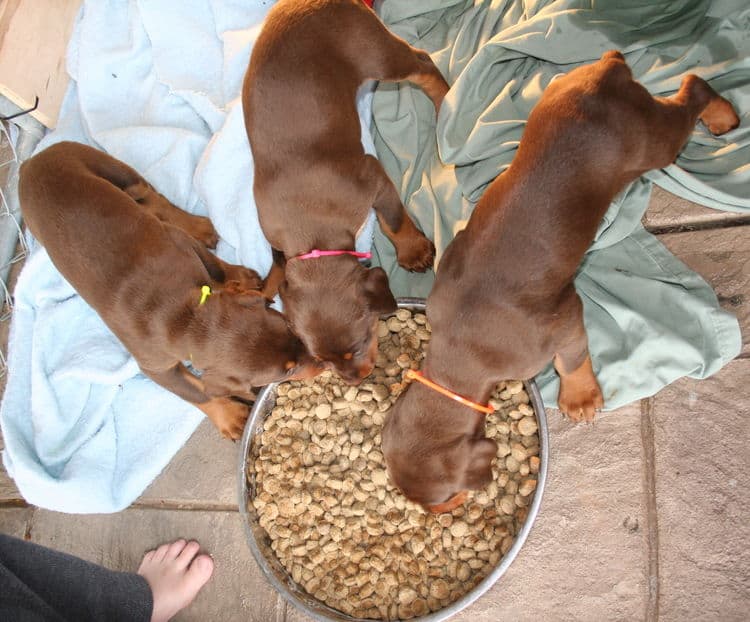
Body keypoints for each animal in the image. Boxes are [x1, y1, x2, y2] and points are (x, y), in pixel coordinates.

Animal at [20, 144, 320, 442]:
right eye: (288, 369)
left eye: (292, 329)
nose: (322, 362)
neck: (186, 315)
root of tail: (29, 164)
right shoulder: (155, 365)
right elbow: (194, 391)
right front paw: (230, 416)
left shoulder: (183, 245)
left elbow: (216, 269)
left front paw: (239, 279)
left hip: (110, 169)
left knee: (152, 199)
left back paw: (199, 227)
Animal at [244, 0, 450, 386]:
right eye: (321, 359)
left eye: (356, 346)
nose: (355, 380)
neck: (310, 237)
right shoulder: (275, 236)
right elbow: (278, 263)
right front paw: (263, 290)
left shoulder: (373, 178)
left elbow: (394, 221)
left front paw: (413, 250)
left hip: (377, 53)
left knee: (422, 64)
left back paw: (445, 99)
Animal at [384, 52, 744, 512]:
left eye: (444, 499)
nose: (444, 515)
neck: (459, 351)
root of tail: (604, 72)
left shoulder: (564, 319)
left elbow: (571, 359)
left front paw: (580, 397)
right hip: (561, 92)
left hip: (655, 140)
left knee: (693, 88)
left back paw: (721, 115)